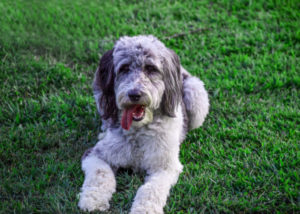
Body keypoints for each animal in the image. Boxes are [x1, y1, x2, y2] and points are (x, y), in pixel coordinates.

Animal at [78, 35, 209, 214]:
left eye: (150, 68)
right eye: (124, 68)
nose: (134, 94)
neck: (138, 133)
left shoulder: (166, 166)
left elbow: (151, 189)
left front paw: (144, 209)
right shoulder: (94, 154)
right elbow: (100, 173)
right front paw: (93, 199)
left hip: (197, 95)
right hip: (100, 95)